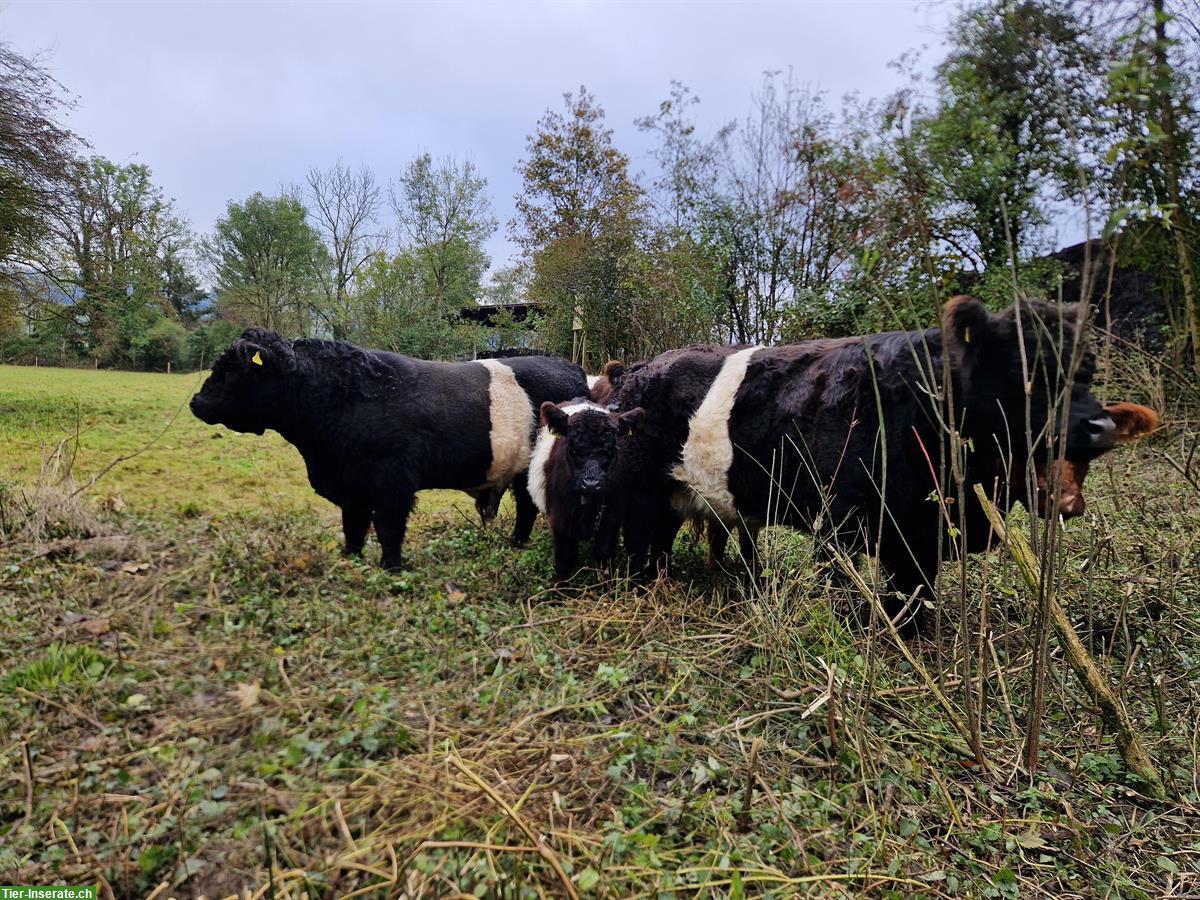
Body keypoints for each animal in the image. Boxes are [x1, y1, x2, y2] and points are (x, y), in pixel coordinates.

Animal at [189, 331, 592, 571]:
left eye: (230, 371)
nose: (196, 402)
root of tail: (569, 366)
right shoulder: (351, 488)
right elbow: (353, 527)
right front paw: (350, 559)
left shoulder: (391, 484)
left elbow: (387, 528)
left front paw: (392, 567)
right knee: (526, 507)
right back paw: (515, 544)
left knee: (528, 507)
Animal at [614, 300, 1156, 628]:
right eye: (1021, 369)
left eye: (1088, 372)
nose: (1098, 426)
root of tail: (636, 369)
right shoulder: (839, 519)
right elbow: (841, 581)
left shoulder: (920, 532)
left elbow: (913, 591)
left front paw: (910, 631)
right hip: (643, 490)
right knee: (644, 539)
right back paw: (644, 586)